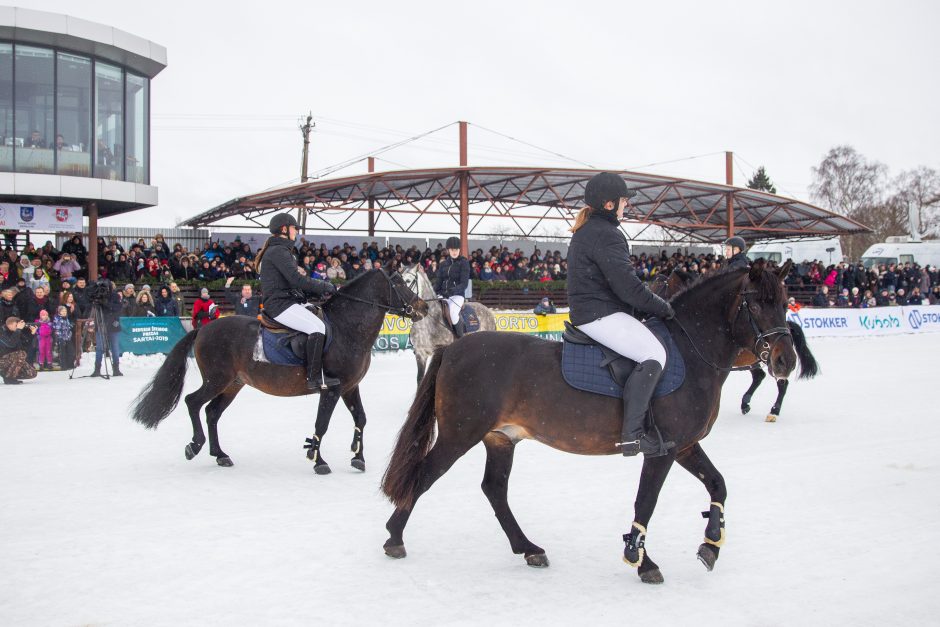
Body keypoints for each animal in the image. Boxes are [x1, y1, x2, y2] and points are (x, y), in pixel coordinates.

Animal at [378, 262, 796, 584]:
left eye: (784, 302)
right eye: (756, 303)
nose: (785, 361)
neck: (689, 352)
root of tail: (454, 348)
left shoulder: (684, 445)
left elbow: (718, 484)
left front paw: (711, 542)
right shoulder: (662, 450)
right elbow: (646, 501)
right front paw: (641, 560)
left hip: (500, 438)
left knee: (494, 489)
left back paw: (528, 548)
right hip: (459, 435)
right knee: (424, 474)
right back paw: (394, 538)